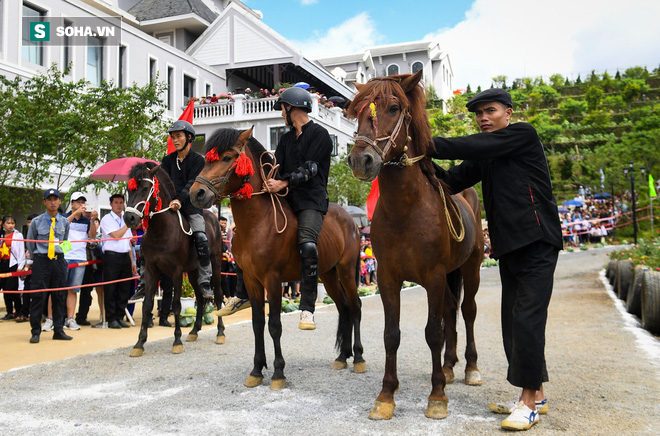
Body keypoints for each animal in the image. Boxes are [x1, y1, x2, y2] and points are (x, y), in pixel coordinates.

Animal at [124, 162, 227, 356]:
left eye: (146, 188)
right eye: (128, 189)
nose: (129, 218)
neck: (161, 230)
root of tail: (214, 219)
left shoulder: (176, 272)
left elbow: (177, 305)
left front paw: (177, 341)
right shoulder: (151, 270)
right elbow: (147, 305)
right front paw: (139, 343)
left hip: (216, 264)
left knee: (217, 296)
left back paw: (220, 333)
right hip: (193, 271)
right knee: (200, 298)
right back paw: (194, 331)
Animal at [188, 126, 366, 388]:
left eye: (227, 157)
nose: (196, 194)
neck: (258, 222)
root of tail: (352, 222)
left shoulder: (272, 280)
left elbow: (274, 325)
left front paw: (278, 372)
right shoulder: (251, 279)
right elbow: (257, 324)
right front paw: (256, 370)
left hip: (345, 271)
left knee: (354, 307)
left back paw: (359, 357)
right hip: (327, 274)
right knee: (343, 308)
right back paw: (342, 357)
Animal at [346, 70, 484, 418]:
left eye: (394, 108)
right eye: (358, 111)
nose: (361, 160)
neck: (406, 210)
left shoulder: (433, 276)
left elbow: (433, 333)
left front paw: (437, 396)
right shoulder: (388, 278)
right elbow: (391, 335)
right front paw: (386, 396)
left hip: (471, 267)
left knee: (467, 310)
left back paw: (470, 368)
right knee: (450, 310)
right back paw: (448, 367)